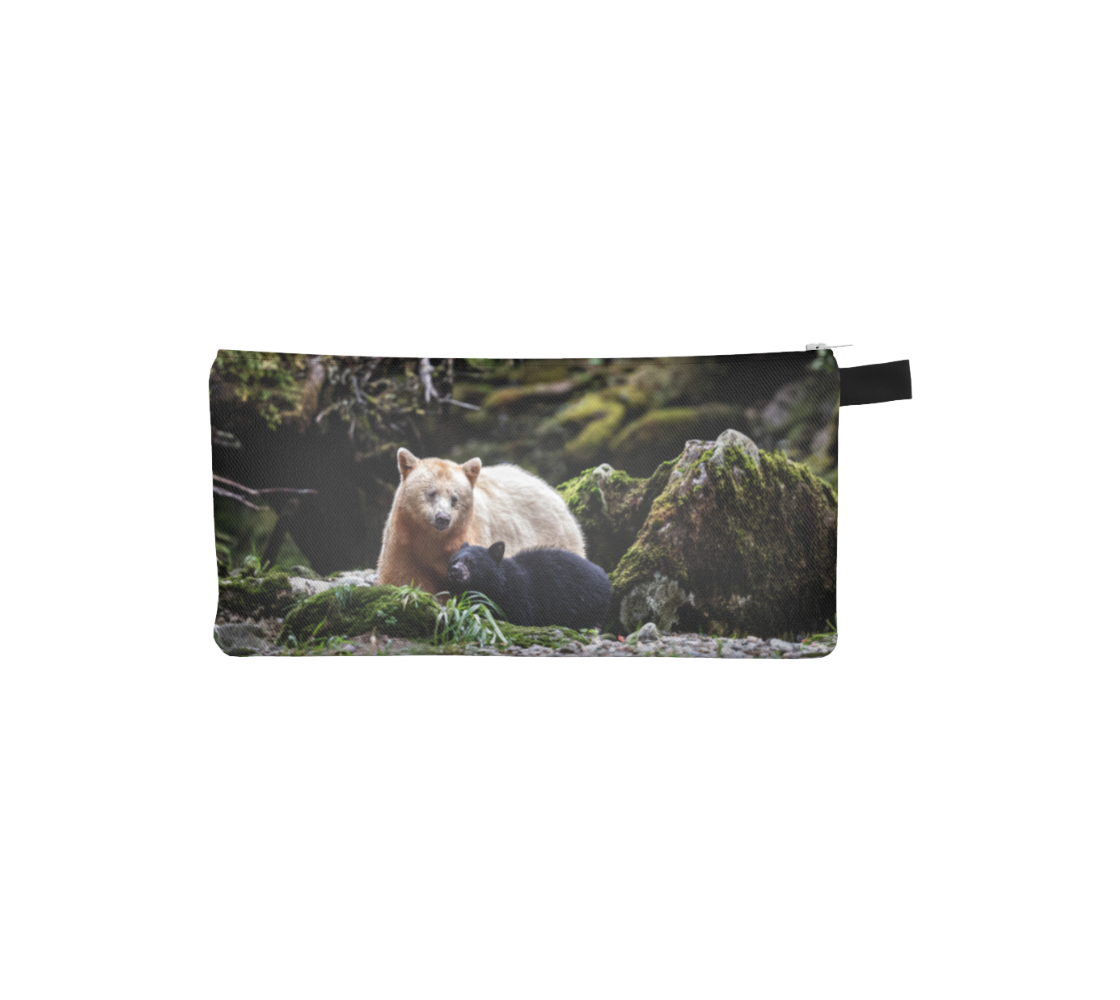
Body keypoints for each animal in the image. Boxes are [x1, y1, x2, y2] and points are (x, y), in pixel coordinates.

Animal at [376, 448, 586, 595]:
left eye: (455, 498)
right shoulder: (404, 542)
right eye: (431, 493)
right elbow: (404, 578)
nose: (443, 518)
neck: (432, 539)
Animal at [446, 541, 612, 631]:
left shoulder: (520, 600)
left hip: (585, 605)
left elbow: (520, 619)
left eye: (470, 562)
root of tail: (605, 577)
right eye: (453, 560)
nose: (454, 570)